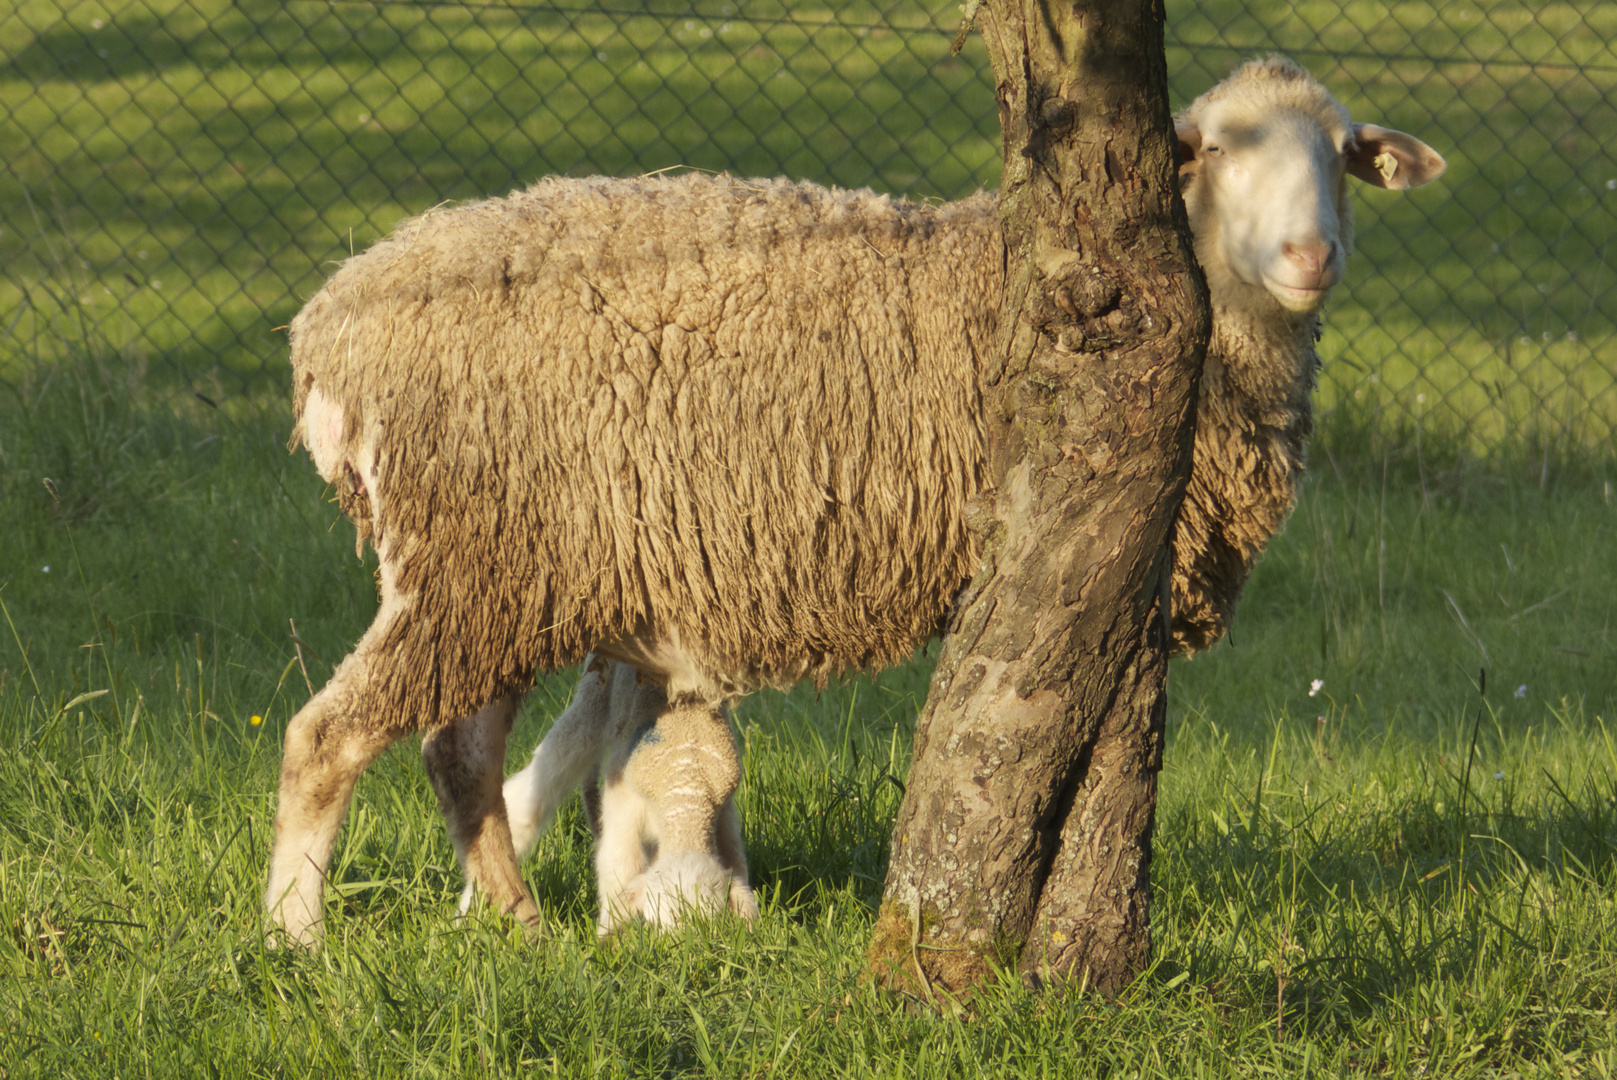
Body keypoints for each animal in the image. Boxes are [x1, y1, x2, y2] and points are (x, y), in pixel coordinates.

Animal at [265, 54, 1442, 937]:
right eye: (1215, 151)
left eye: (1342, 156)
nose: (1310, 254)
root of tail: (327, 328)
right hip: (470, 561)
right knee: (327, 739)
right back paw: (295, 937)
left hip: (501, 573)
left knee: (457, 754)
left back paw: (518, 926)